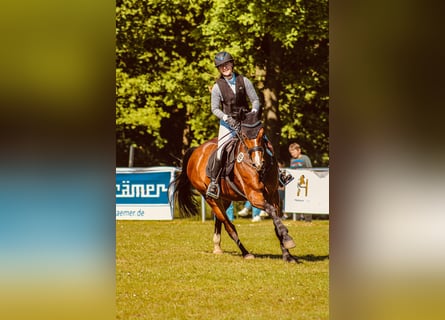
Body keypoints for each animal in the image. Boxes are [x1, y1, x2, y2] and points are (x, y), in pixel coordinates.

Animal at [172, 110, 296, 262]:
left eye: (262, 134)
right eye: (244, 136)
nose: (258, 163)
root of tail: (196, 152)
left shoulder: (274, 196)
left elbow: (276, 220)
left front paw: (287, 254)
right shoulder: (254, 196)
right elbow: (271, 212)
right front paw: (288, 239)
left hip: (224, 199)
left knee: (219, 219)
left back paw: (217, 247)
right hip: (210, 198)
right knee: (228, 226)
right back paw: (245, 253)